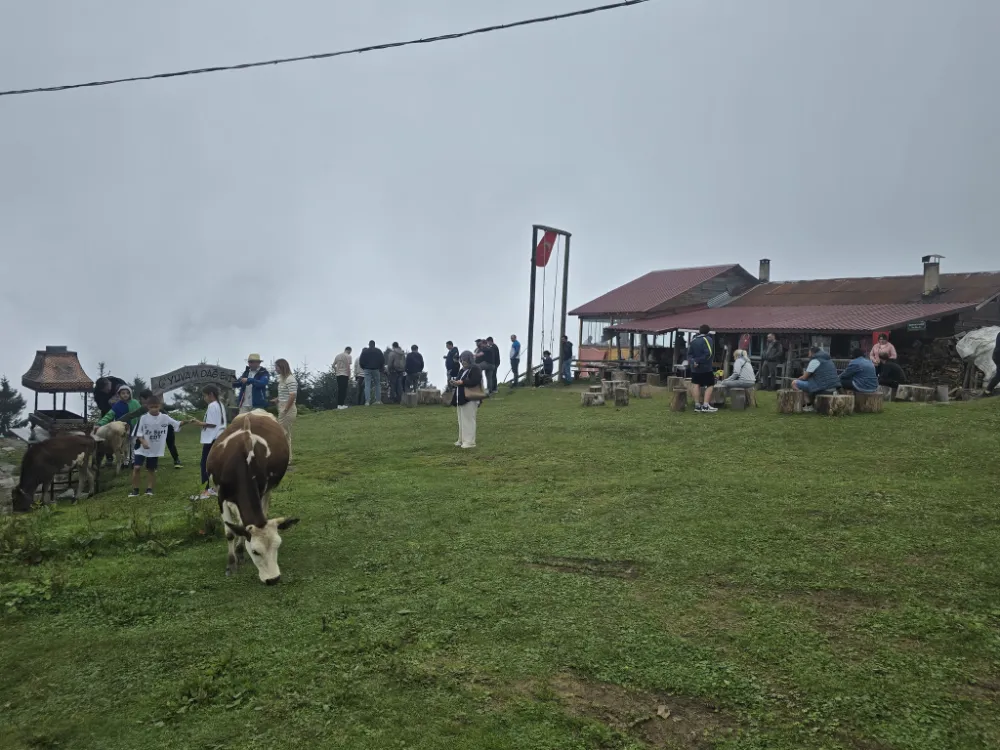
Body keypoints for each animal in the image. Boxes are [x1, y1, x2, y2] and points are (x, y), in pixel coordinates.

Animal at [203, 408, 296, 584]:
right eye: (255, 551)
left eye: (277, 546)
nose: (273, 579)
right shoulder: (221, 497)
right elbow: (230, 532)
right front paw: (231, 564)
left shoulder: (260, 491)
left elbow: (242, 524)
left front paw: (239, 552)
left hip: (268, 490)